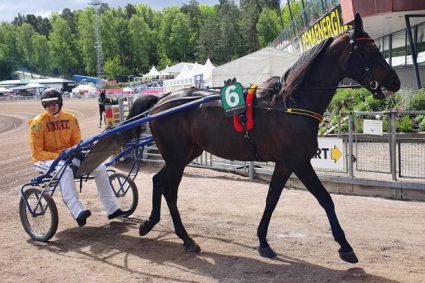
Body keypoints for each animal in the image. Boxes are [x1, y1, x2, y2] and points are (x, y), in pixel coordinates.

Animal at [125, 14, 398, 264]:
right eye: (370, 49)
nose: (394, 81)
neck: (290, 104)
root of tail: (162, 100)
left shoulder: (285, 164)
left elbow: (272, 199)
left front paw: (263, 241)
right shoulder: (299, 162)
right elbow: (325, 199)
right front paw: (345, 246)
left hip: (184, 154)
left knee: (159, 181)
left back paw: (150, 223)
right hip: (177, 156)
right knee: (170, 190)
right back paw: (186, 238)